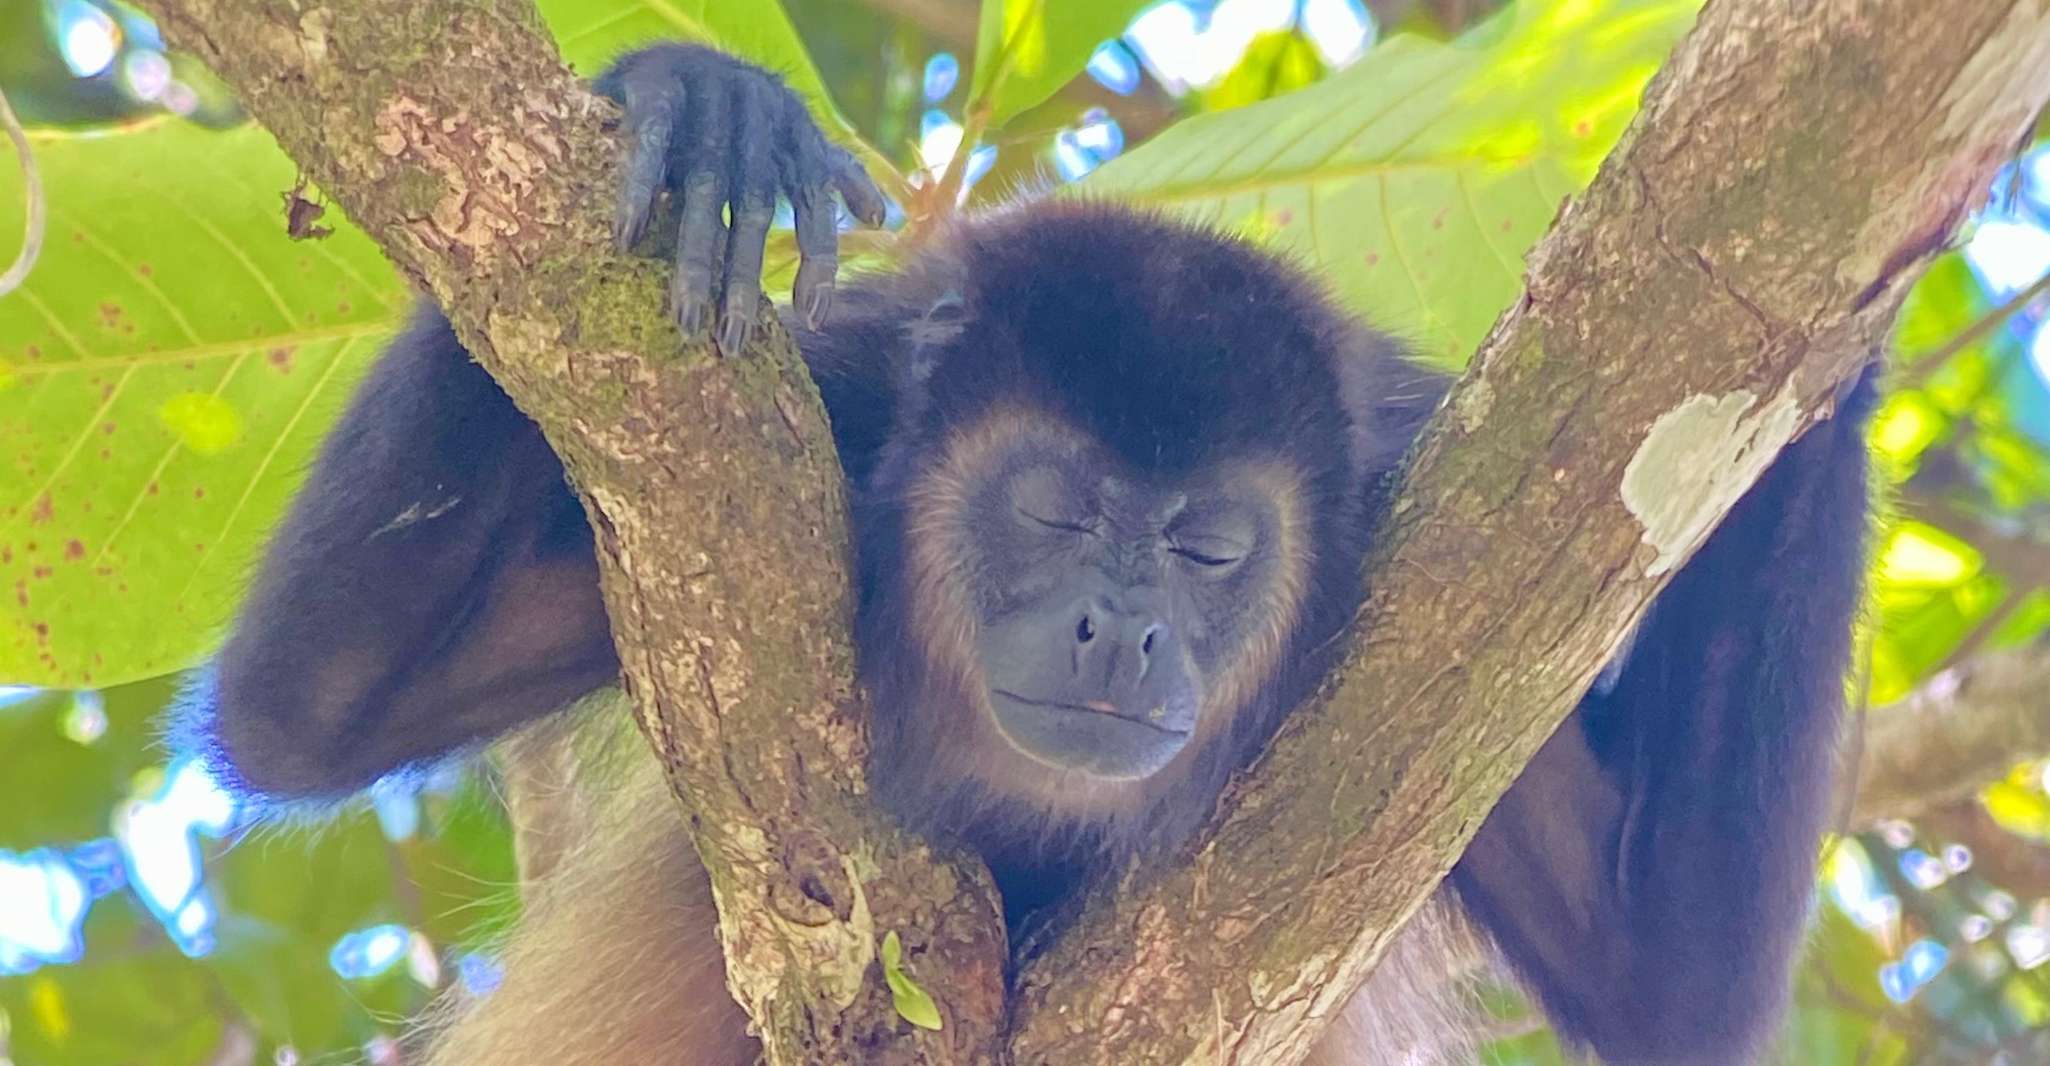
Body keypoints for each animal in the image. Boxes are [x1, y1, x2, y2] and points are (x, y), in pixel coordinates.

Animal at [184, 39, 1877, 1066]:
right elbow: (304, 709)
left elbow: (1670, 975)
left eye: (1207, 548)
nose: (1115, 631)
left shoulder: (1414, 544)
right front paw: (696, 90)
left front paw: (1851, 314)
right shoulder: (839, 400)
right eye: (1055, 512)